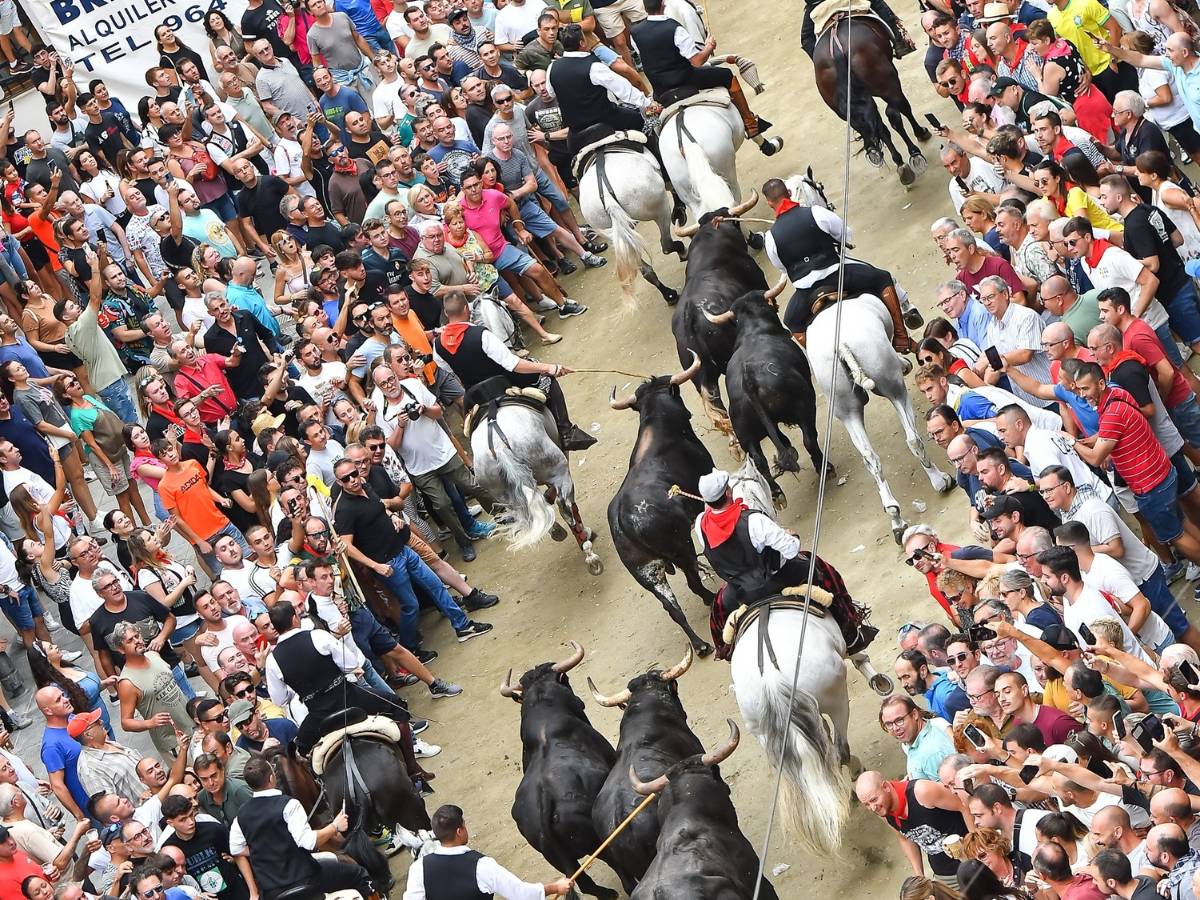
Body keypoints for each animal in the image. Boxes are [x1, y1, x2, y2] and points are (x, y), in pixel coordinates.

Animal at [465, 405, 600, 573]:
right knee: (565, 507)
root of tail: (499, 446)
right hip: (559, 470)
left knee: (529, 512)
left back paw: (557, 531)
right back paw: (585, 544)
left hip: (504, 495)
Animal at [609, 362, 720, 662]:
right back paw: (709, 602)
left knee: (671, 608)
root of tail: (624, 518)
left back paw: (700, 644)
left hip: (646, 572)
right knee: (692, 583)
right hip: (681, 549)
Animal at [811, 15, 931, 184]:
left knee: (879, 126)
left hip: (846, 111)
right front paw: (920, 133)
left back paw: (899, 163)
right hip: (888, 84)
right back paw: (914, 153)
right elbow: (903, 110)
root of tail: (837, 47)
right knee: (896, 112)